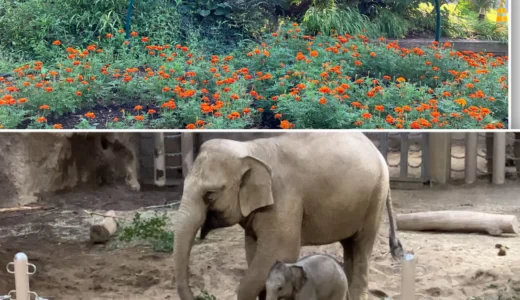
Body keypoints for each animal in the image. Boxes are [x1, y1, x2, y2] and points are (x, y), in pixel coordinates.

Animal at [173, 132, 404, 300]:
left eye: (209, 195)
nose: (199, 296)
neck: (249, 149)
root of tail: (376, 150)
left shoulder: (283, 199)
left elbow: (279, 252)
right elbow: (253, 252)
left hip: (375, 198)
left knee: (362, 246)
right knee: (350, 246)